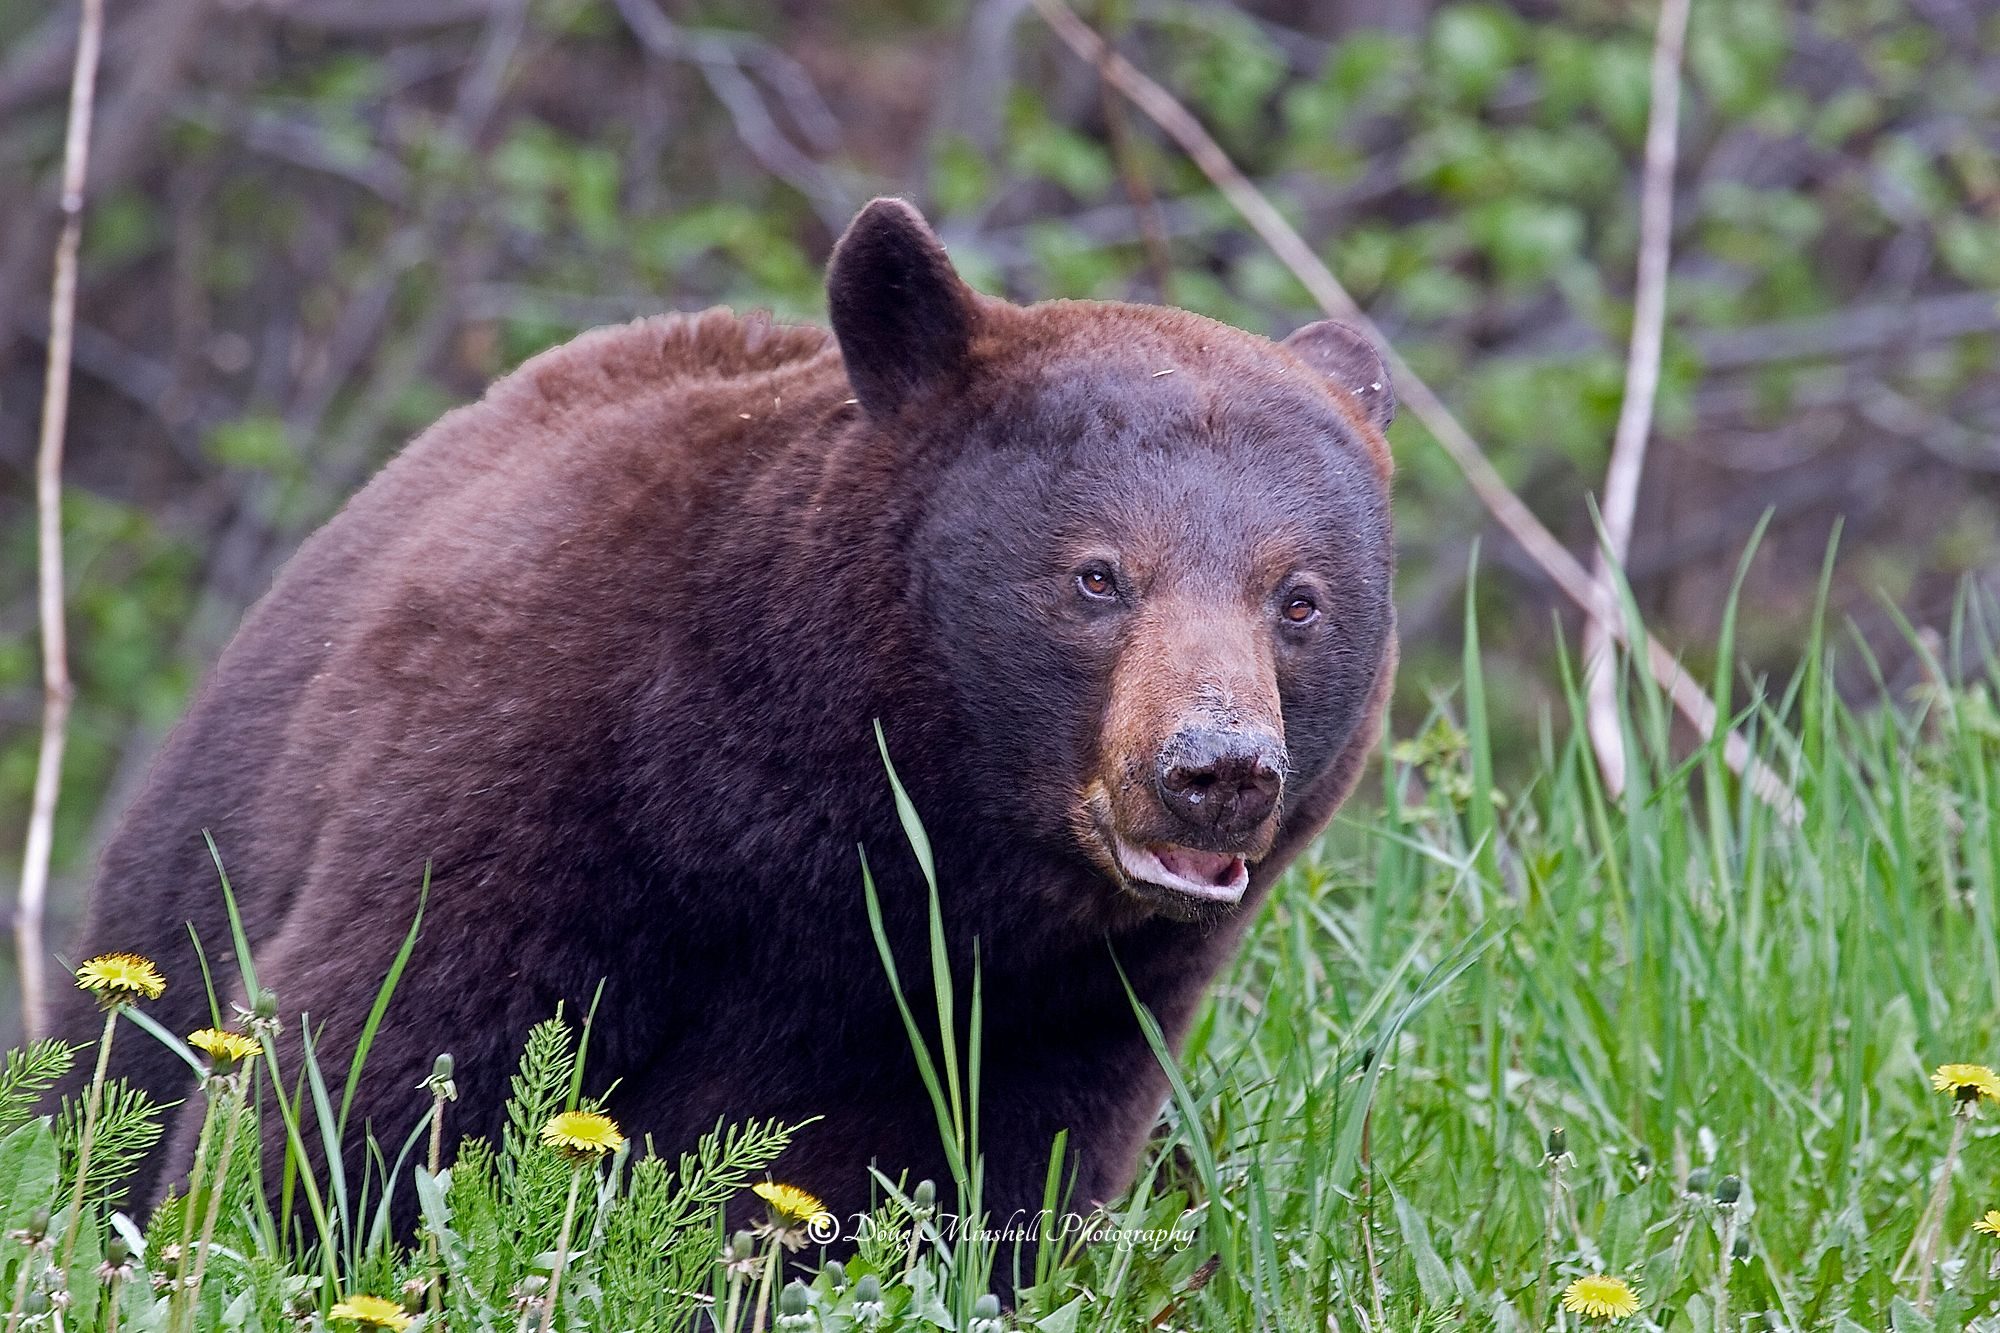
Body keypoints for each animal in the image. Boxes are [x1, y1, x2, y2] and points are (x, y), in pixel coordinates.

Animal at [54, 198, 1397, 1261]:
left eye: (1297, 599)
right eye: (1096, 576)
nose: (1215, 770)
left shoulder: (1056, 1005)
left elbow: (963, 1186)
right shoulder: (533, 770)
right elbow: (367, 1066)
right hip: (192, 868)